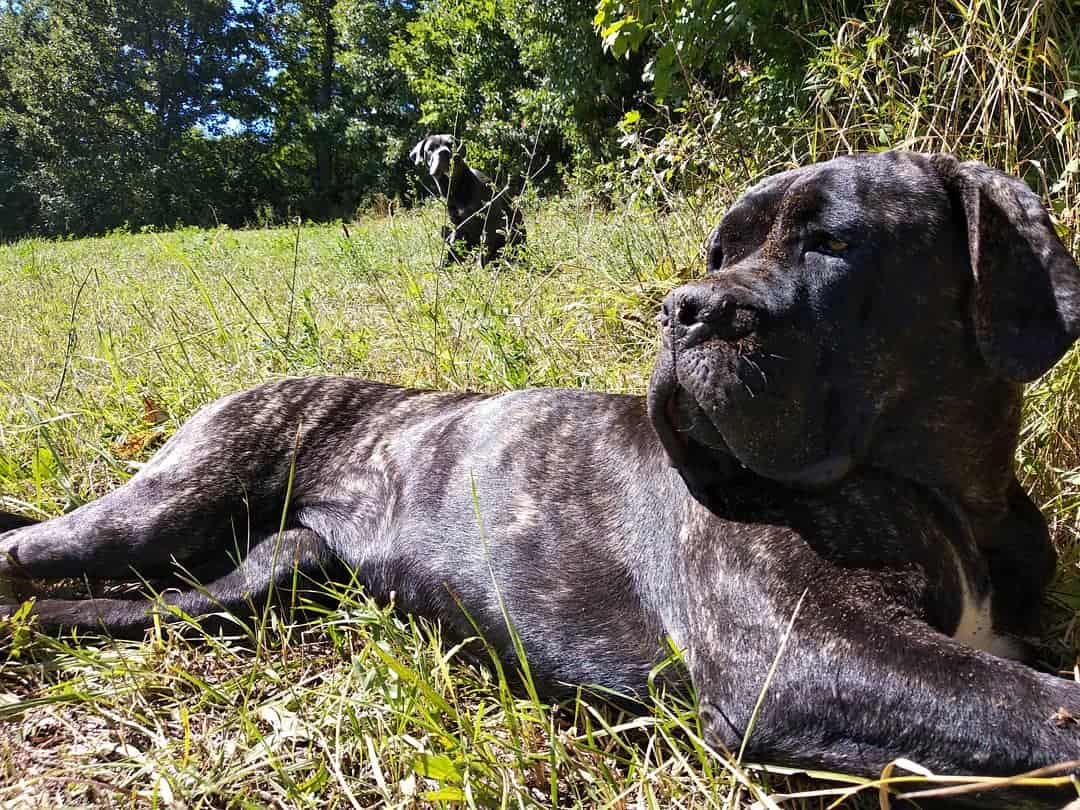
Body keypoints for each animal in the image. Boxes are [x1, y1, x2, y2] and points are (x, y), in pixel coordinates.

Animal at [408, 135, 527, 264]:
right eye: (430, 149)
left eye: (451, 144)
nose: (444, 152)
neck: (456, 187)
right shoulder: (459, 226)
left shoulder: (489, 222)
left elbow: (484, 251)